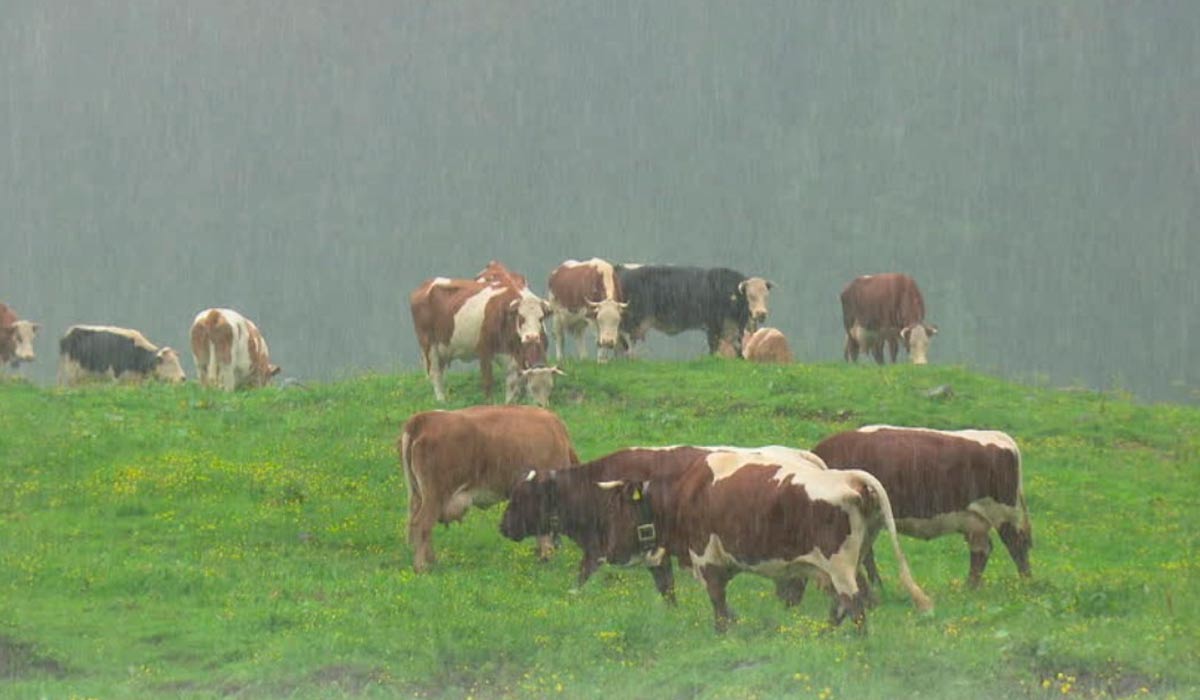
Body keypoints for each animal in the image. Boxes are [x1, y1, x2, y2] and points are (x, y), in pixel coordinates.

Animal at [399, 405, 579, 572]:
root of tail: (423, 418)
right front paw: (546, 557)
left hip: (418, 495)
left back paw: (432, 562)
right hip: (435, 496)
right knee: (421, 524)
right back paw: (422, 567)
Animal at [409, 276, 553, 404]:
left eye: (541, 318)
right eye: (521, 317)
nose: (532, 336)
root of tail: (426, 284)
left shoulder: (512, 356)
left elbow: (512, 383)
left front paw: (509, 404)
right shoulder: (484, 349)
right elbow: (488, 380)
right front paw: (489, 403)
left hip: (443, 349)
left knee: (440, 372)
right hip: (428, 344)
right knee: (435, 373)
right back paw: (441, 400)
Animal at [501, 447, 932, 632]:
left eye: (519, 497)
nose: (503, 527)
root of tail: (850, 477)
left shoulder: (705, 559)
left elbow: (717, 607)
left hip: (839, 566)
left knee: (855, 605)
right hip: (843, 564)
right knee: (848, 602)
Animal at [615, 265, 773, 356]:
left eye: (766, 296)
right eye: (750, 296)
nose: (761, 313)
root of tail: (623, 270)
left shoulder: (734, 328)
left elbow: (738, 349)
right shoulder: (713, 325)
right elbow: (713, 347)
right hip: (633, 320)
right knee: (625, 342)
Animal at [812, 425, 1032, 589]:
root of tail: (999, 436)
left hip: (1002, 512)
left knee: (1016, 544)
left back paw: (1025, 583)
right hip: (975, 520)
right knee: (982, 550)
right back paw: (969, 587)